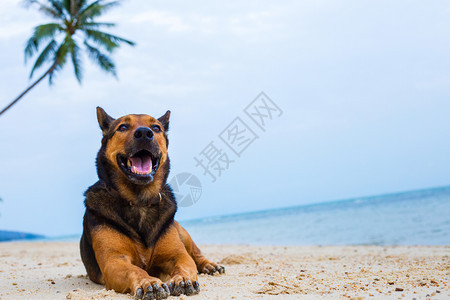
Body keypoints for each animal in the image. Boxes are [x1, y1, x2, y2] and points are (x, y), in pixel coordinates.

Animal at [81, 106, 225, 298]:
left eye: (156, 128)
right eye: (122, 127)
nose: (144, 133)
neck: (139, 200)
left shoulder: (177, 254)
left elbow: (185, 263)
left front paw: (182, 279)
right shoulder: (114, 261)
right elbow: (135, 270)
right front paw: (149, 282)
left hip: (181, 230)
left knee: (196, 253)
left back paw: (209, 265)